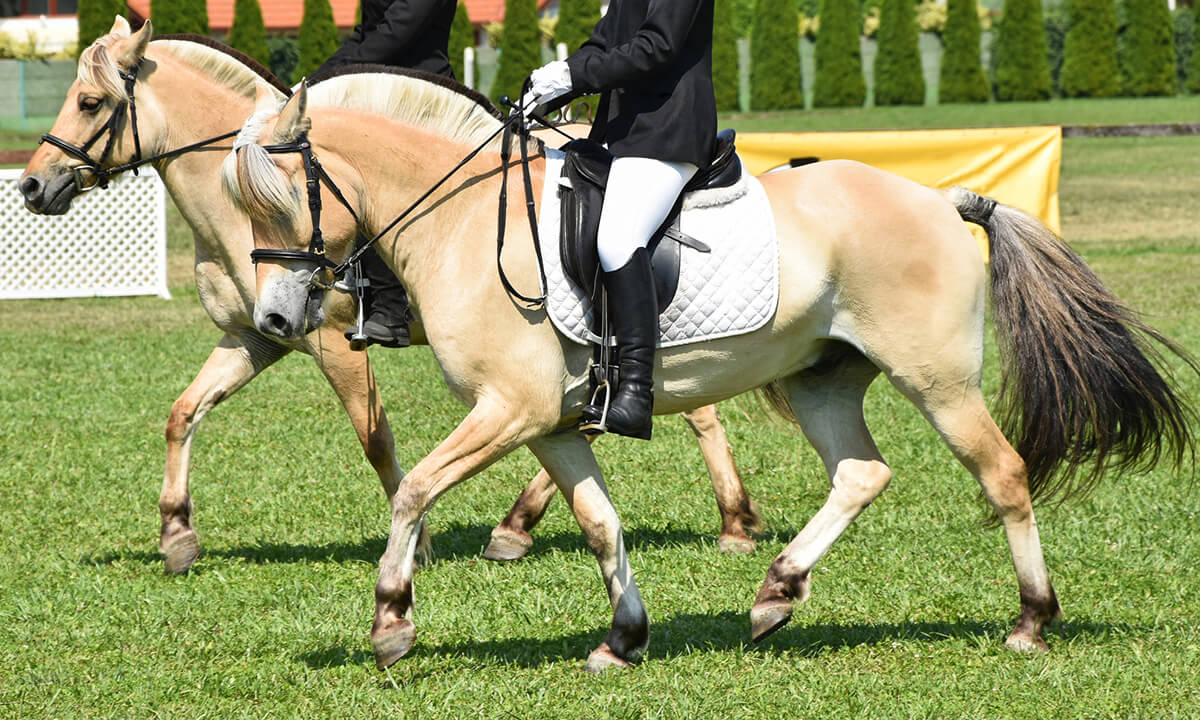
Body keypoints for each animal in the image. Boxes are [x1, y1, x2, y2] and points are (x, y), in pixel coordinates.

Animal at [226, 71, 1190, 667]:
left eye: (278, 199)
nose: (272, 320)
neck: (463, 223)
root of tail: (941, 198)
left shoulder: (510, 409)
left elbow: (415, 489)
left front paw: (392, 620)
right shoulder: (546, 425)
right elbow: (601, 524)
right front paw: (622, 639)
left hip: (938, 382)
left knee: (1005, 474)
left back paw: (1030, 620)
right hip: (820, 378)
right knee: (862, 473)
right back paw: (776, 592)